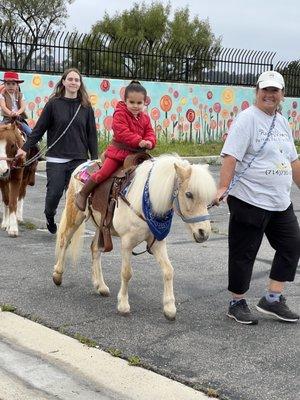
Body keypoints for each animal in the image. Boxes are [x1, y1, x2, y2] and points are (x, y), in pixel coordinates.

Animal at [51, 155, 216, 320]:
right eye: (189, 194)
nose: (204, 232)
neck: (145, 201)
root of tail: (82, 166)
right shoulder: (127, 243)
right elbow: (127, 273)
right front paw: (123, 305)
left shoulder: (157, 242)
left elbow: (169, 270)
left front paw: (169, 308)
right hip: (75, 216)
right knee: (65, 240)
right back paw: (57, 275)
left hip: (101, 227)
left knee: (95, 249)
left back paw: (100, 286)